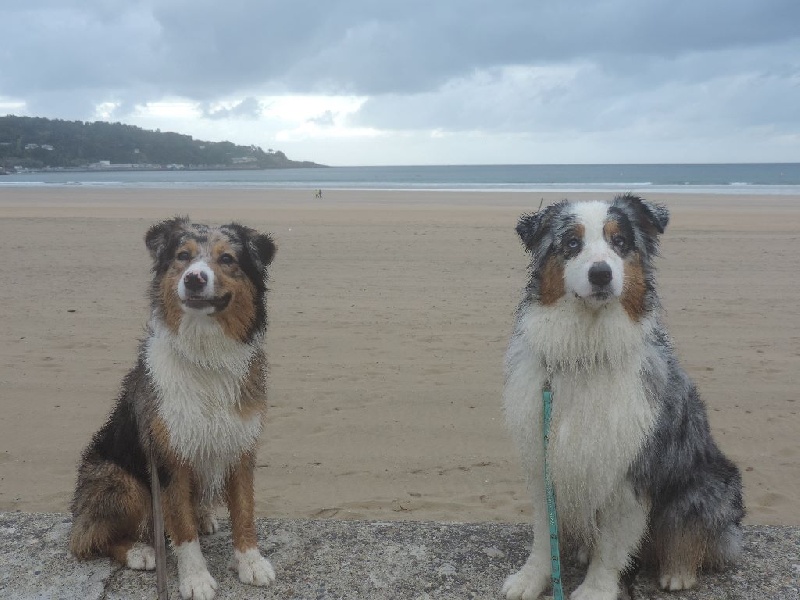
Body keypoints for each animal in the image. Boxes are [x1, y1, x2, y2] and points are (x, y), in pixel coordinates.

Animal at [69, 218, 282, 600]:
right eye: (183, 256)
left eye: (227, 259)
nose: (194, 278)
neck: (206, 355)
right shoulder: (169, 456)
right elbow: (181, 528)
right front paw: (195, 578)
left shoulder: (240, 445)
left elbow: (244, 510)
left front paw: (251, 562)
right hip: (120, 480)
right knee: (88, 537)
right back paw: (139, 551)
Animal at [506, 195, 744, 596]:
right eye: (572, 243)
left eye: (620, 243)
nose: (601, 274)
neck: (587, 348)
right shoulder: (543, 458)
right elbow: (543, 533)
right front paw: (531, 578)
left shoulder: (630, 469)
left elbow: (612, 544)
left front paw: (595, 590)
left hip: (707, 486)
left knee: (694, 534)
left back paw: (678, 571)